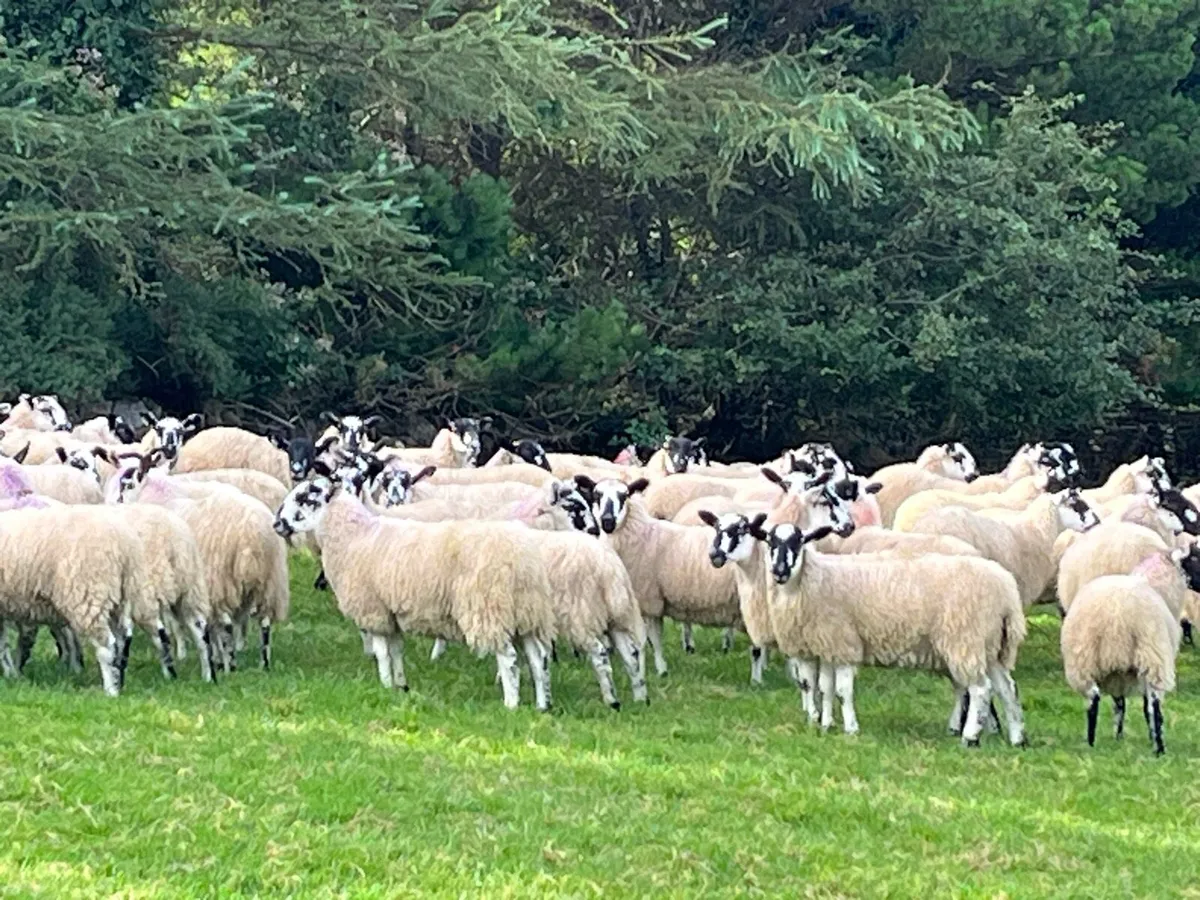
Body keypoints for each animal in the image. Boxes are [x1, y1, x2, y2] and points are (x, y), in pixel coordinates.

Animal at [273, 478, 557, 710]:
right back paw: (542, 705)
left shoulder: (373, 610)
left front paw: (385, 684)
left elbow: (382, 653)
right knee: (537, 659)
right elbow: (397, 651)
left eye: (305, 497)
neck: (353, 536)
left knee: (508, 659)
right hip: (526, 613)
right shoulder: (391, 614)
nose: (277, 524)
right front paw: (401, 686)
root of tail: (522, 559)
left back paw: (511, 703)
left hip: (489, 609)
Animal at [756, 520, 1027, 746]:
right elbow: (816, 687)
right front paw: (820, 724)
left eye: (799, 541)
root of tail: (1007, 591)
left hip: (965, 639)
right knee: (1007, 688)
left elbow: (842, 692)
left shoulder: (843, 643)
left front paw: (850, 728)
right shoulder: (817, 646)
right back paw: (1018, 738)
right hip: (990, 645)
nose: (779, 571)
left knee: (981, 689)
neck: (811, 581)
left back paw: (970, 737)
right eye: (770, 542)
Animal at [1060, 570, 1192, 754]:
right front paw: (1123, 737)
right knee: (1153, 704)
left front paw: (1118, 737)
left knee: (1094, 697)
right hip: (1151, 658)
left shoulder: (1116, 676)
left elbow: (1119, 705)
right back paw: (1159, 748)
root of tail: (1117, 617)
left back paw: (1091, 743)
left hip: (1086, 662)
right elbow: (1128, 706)